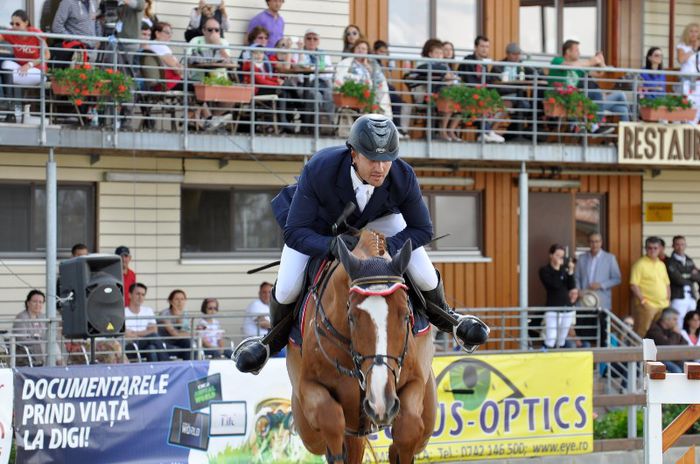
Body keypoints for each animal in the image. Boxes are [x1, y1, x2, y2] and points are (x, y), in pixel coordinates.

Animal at [288, 230, 434, 462]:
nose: (381, 402)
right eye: (352, 318)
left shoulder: (415, 382)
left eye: (405, 315)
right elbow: (331, 420)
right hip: (310, 432)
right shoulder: (309, 386)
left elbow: (408, 427)